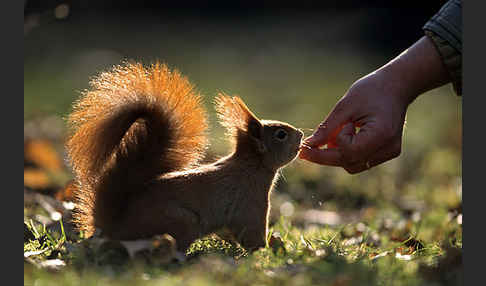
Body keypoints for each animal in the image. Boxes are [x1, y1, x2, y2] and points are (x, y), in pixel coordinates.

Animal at [67, 61, 304, 251]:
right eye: (281, 134)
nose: (301, 134)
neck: (251, 166)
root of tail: (114, 227)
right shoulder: (249, 203)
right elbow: (252, 236)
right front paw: (269, 251)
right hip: (181, 222)